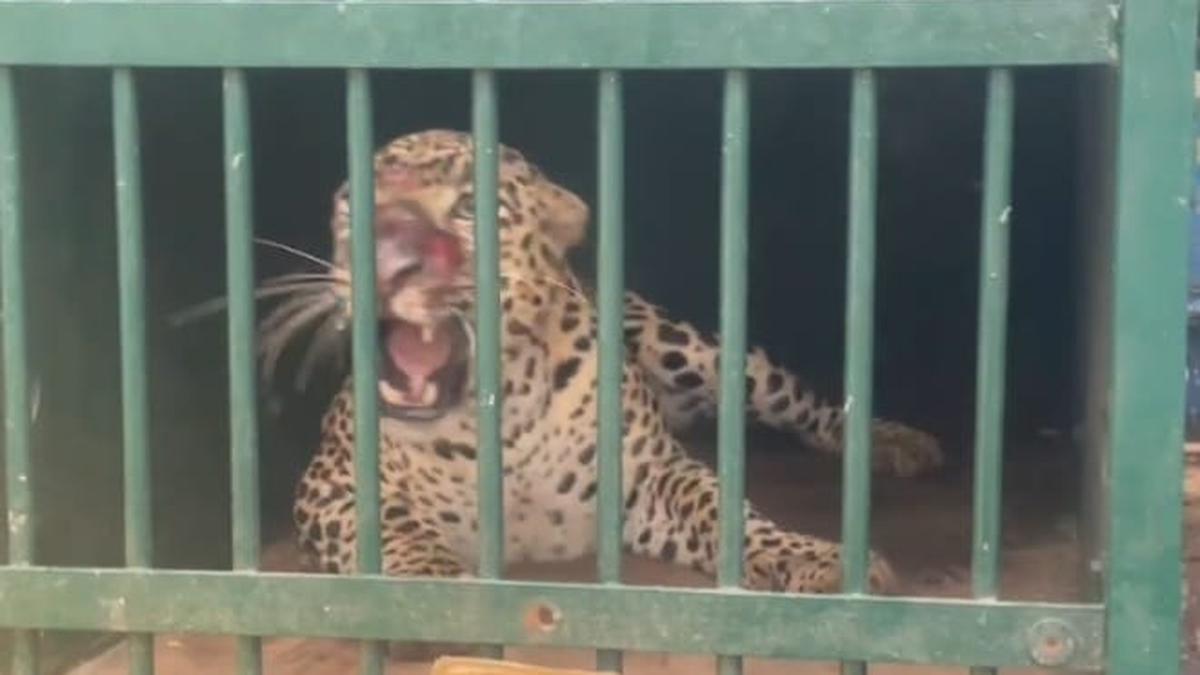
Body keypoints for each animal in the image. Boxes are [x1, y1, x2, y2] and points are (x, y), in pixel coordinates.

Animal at [286, 129, 943, 654]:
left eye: (472, 207)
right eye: (351, 205)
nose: (386, 262)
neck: (494, 418)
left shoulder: (650, 477)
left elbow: (728, 511)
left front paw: (819, 560)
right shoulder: (331, 483)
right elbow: (395, 530)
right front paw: (426, 595)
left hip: (688, 346)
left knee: (796, 400)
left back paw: (892, 441)